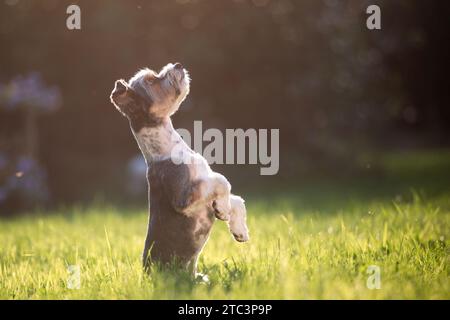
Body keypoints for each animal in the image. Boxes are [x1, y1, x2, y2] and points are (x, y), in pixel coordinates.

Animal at [109, 63, 250, 276]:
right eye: (150, 81)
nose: (177, 65)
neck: (168, 149)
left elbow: (237, 200)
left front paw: (239, 230)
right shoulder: (183, 197)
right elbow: (221, 180)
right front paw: (223, 210)